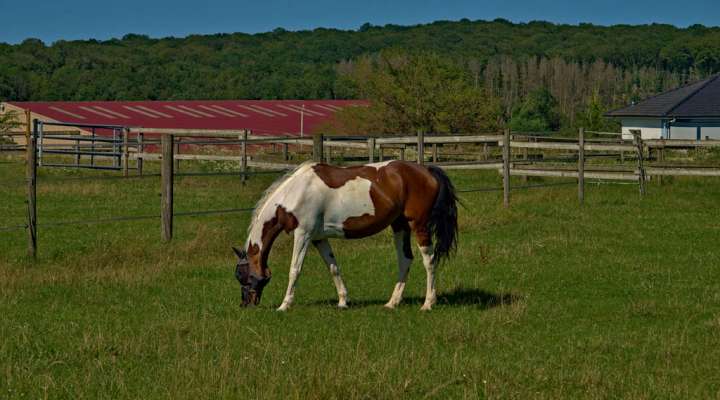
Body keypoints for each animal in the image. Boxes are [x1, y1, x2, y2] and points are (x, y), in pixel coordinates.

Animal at [232, 160, 456, 312]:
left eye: (243, 276)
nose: (245, 304)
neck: (295, 193)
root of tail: (427, 170)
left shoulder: (303, 234)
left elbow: (294, 270)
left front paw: (284, 305)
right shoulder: (318, 238)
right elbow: (333, 267)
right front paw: (342, 301)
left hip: (418, 226)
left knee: (429, 260)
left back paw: (428, 303)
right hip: (399, 225)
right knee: (405, 259)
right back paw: (392, 302)